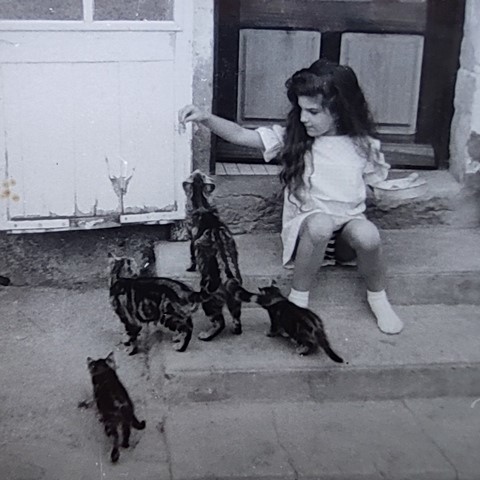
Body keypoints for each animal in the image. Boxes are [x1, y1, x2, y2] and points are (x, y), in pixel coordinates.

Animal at [183, 170, 246, 342]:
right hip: (235, 303)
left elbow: (192, 256)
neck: (202, 204)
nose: (196, 171)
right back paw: (235, 330)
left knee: (220, 323)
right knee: (237, 322)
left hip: (209, 303)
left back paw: (205, 335)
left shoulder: (192, 239)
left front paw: (191, 268)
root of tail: (230, 280)